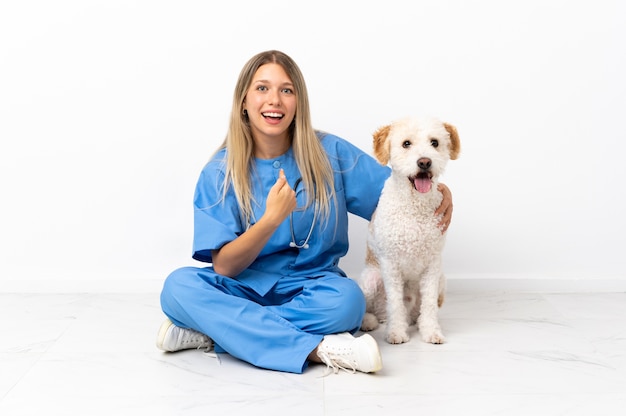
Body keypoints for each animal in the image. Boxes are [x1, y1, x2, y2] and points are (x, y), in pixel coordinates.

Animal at [358, 117, 456, 344]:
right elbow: (395, 302)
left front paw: (431, 331)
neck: (414, 206)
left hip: (442, 279)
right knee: (368, 308)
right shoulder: (390, 264)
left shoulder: (432, 265)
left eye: (435, 142)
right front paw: (396, 333)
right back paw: (369, 321)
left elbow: (429, 304)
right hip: (370, 279)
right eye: (406, 144)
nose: (424, 162)